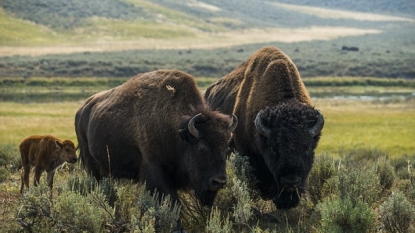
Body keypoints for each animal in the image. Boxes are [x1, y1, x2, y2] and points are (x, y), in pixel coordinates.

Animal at [75, 69, 237, 231]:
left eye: (226, 148)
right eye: (201, 148)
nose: (219, 181)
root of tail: (82, 110)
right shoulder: (155, 170)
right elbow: (170, 201)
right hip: (91, 165)